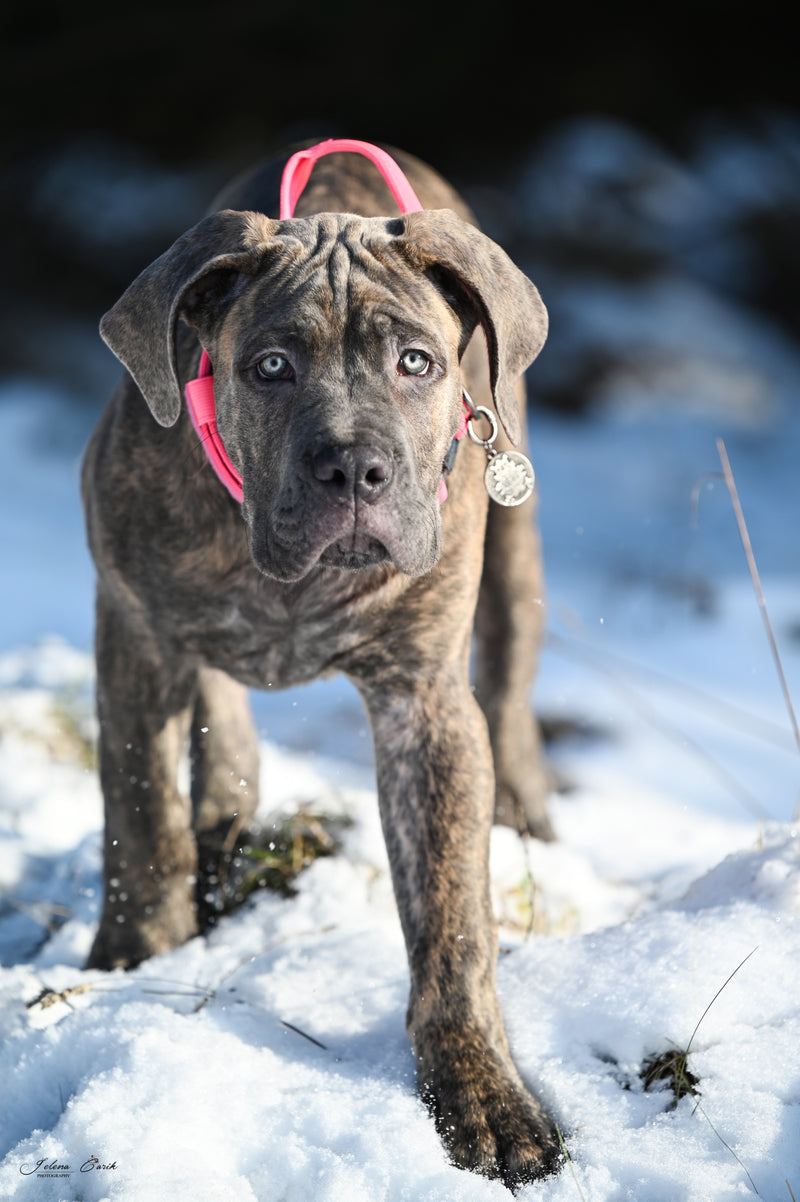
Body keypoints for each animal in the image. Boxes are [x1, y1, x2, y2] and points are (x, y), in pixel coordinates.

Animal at [81, 138, 554, 1182]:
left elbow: (452, 916)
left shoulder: (425, 706)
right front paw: (134, 957)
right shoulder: (134, 636)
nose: (353, 468)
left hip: (515, 537)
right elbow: (141, 815)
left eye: (416, 362)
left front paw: (480, 1091)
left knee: (510, 677)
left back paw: (529, 807)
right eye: (269, 367)